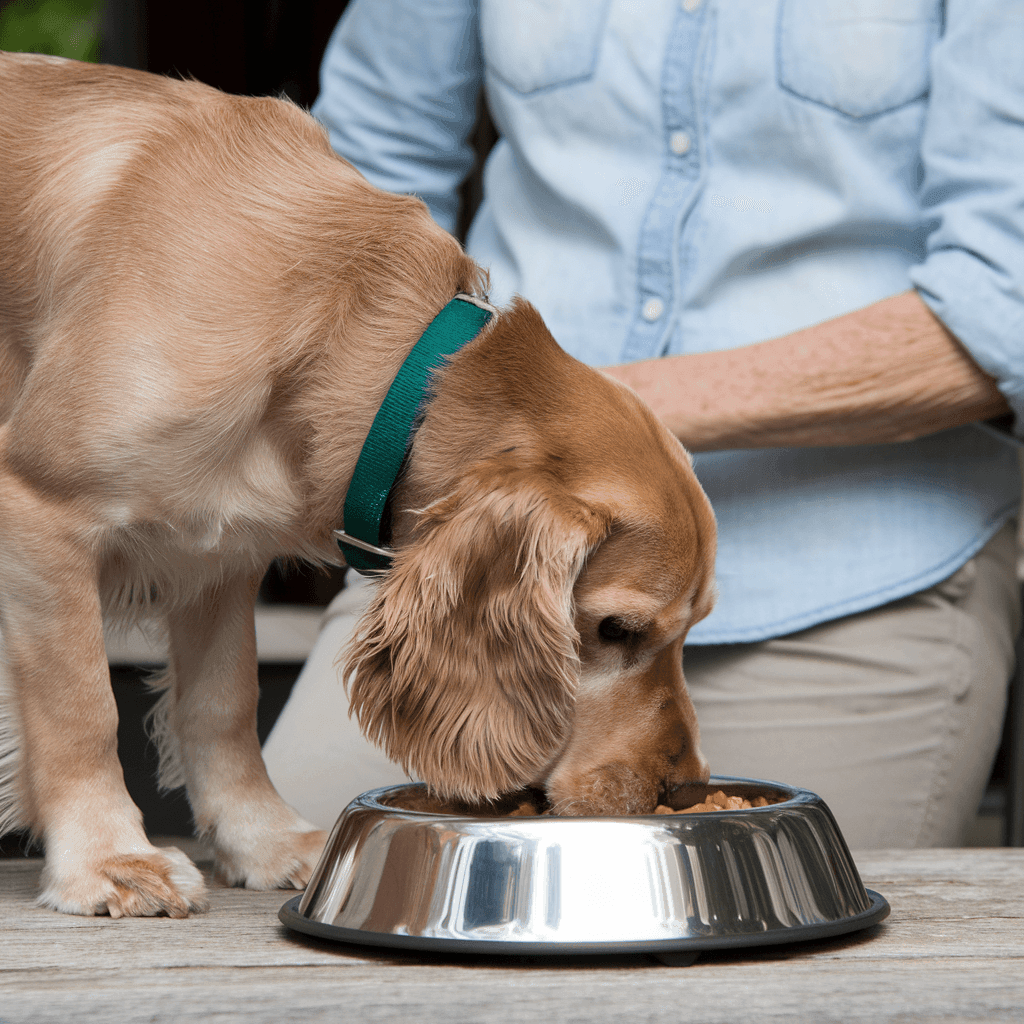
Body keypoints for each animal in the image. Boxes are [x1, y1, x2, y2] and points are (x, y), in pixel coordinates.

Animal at [0, 54, 716, 921]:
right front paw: (108, 858)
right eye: (615, 630)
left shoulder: (216, 550)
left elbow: (224, 704)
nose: (683, 790)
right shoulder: (41, 506)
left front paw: (264, 840)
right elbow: (82, 707)